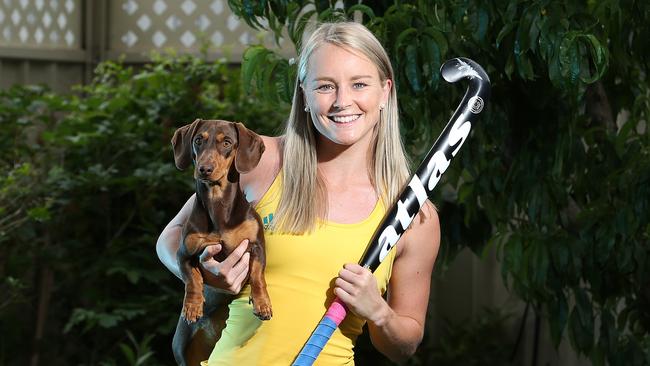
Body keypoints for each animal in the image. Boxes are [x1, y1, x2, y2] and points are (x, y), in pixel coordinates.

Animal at [170, 118, 270, 364]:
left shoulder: (257, 246)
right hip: (182, 353)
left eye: (227, 142)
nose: (205, 169)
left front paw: (262, 303)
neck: (218, 206)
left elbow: (257, 276)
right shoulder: (184, 253)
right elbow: (192, 279)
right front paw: (192, 306)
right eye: (198, 140)